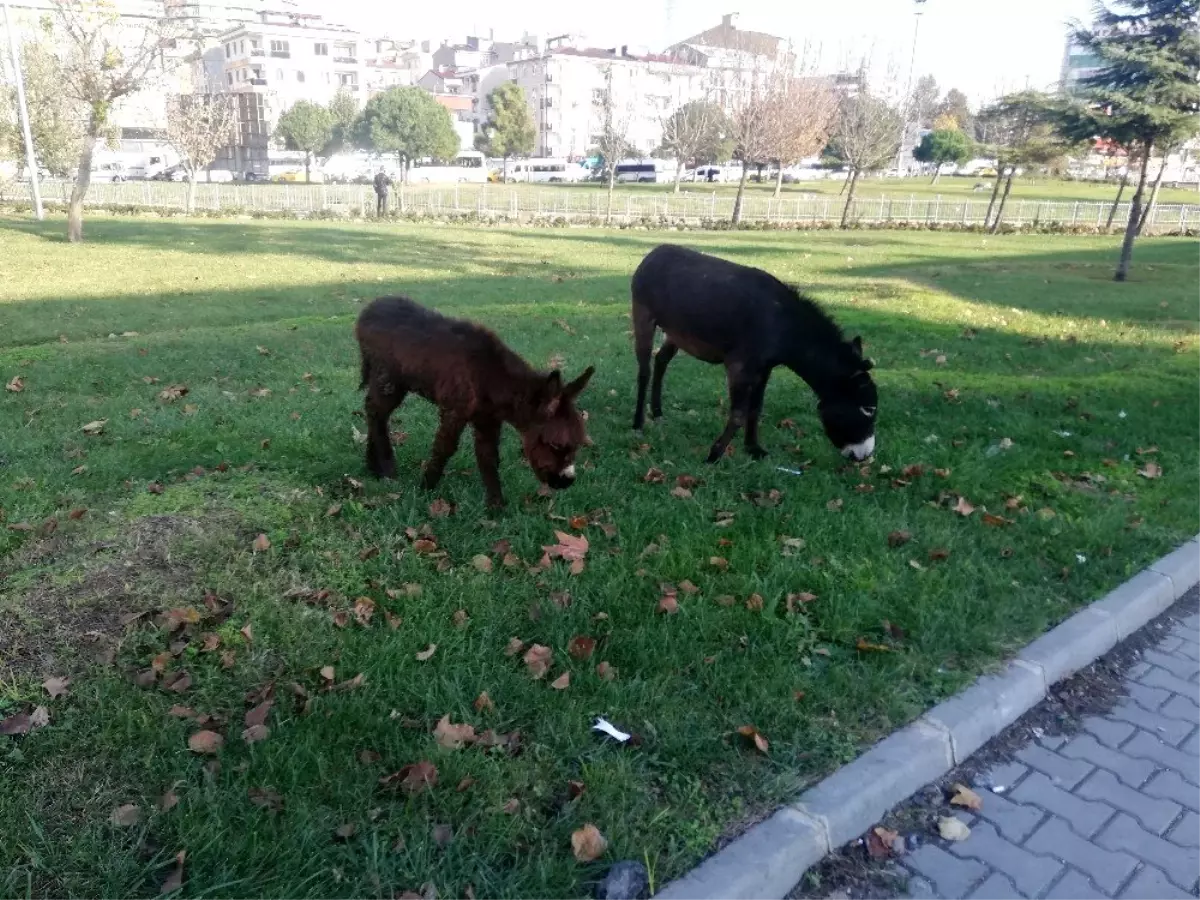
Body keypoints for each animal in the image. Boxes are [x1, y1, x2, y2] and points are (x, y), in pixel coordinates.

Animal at [355, 296, 600, 508]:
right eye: (556, 445)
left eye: (578, 444)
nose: (566, 482)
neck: (491, 378)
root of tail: (367, 310)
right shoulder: (455, 409)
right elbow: (444, 449)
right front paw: (425, 488)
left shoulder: (487, 419)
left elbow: (488, 457)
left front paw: (496, 510)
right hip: (389, 378)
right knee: (376, 412)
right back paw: (387, 469)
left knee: (374, 411)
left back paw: (372, 466)